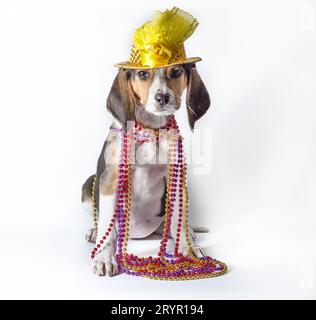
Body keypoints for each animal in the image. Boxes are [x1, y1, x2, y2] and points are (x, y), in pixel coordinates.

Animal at [81, 63, 210, 278]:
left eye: (176, 71)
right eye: (142, 73)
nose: (162, 97)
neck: (151, 130)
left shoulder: (177, 177)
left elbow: (179, 222)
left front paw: (188, 249)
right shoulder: (109, 180)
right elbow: (108, 225)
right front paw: (104, 258)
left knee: (172, 223)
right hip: (88, 185)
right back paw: (94, 232)